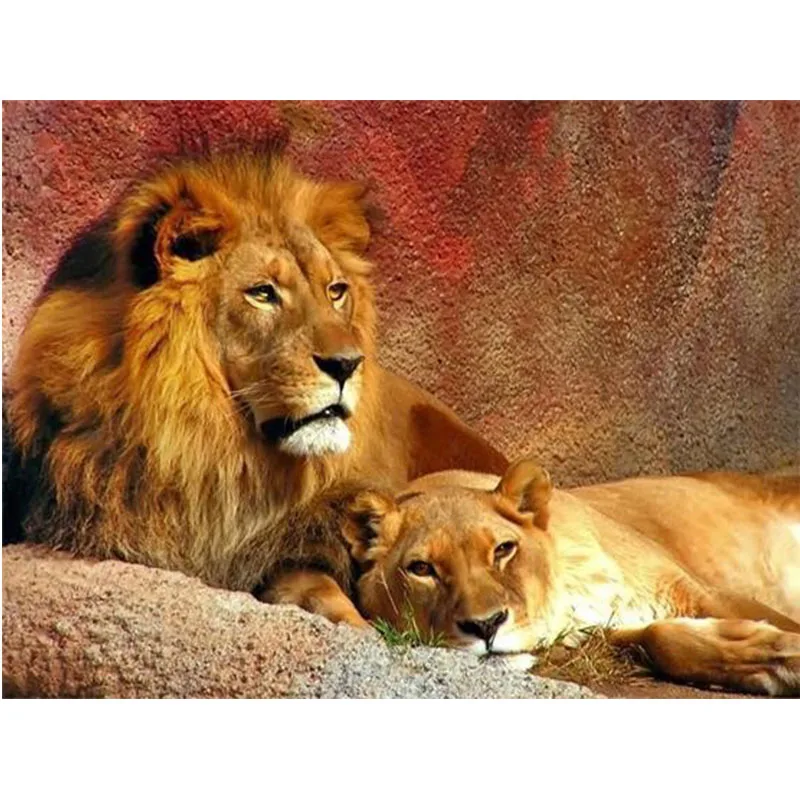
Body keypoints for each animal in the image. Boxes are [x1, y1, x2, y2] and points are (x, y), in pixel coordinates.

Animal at [342, 459, 800, 695]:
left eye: (503, 549)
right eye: (422, 569)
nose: (485, 626)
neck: (571, 591)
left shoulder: (695, 589)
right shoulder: (607, 630)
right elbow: (663, 640)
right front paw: (775, 658)